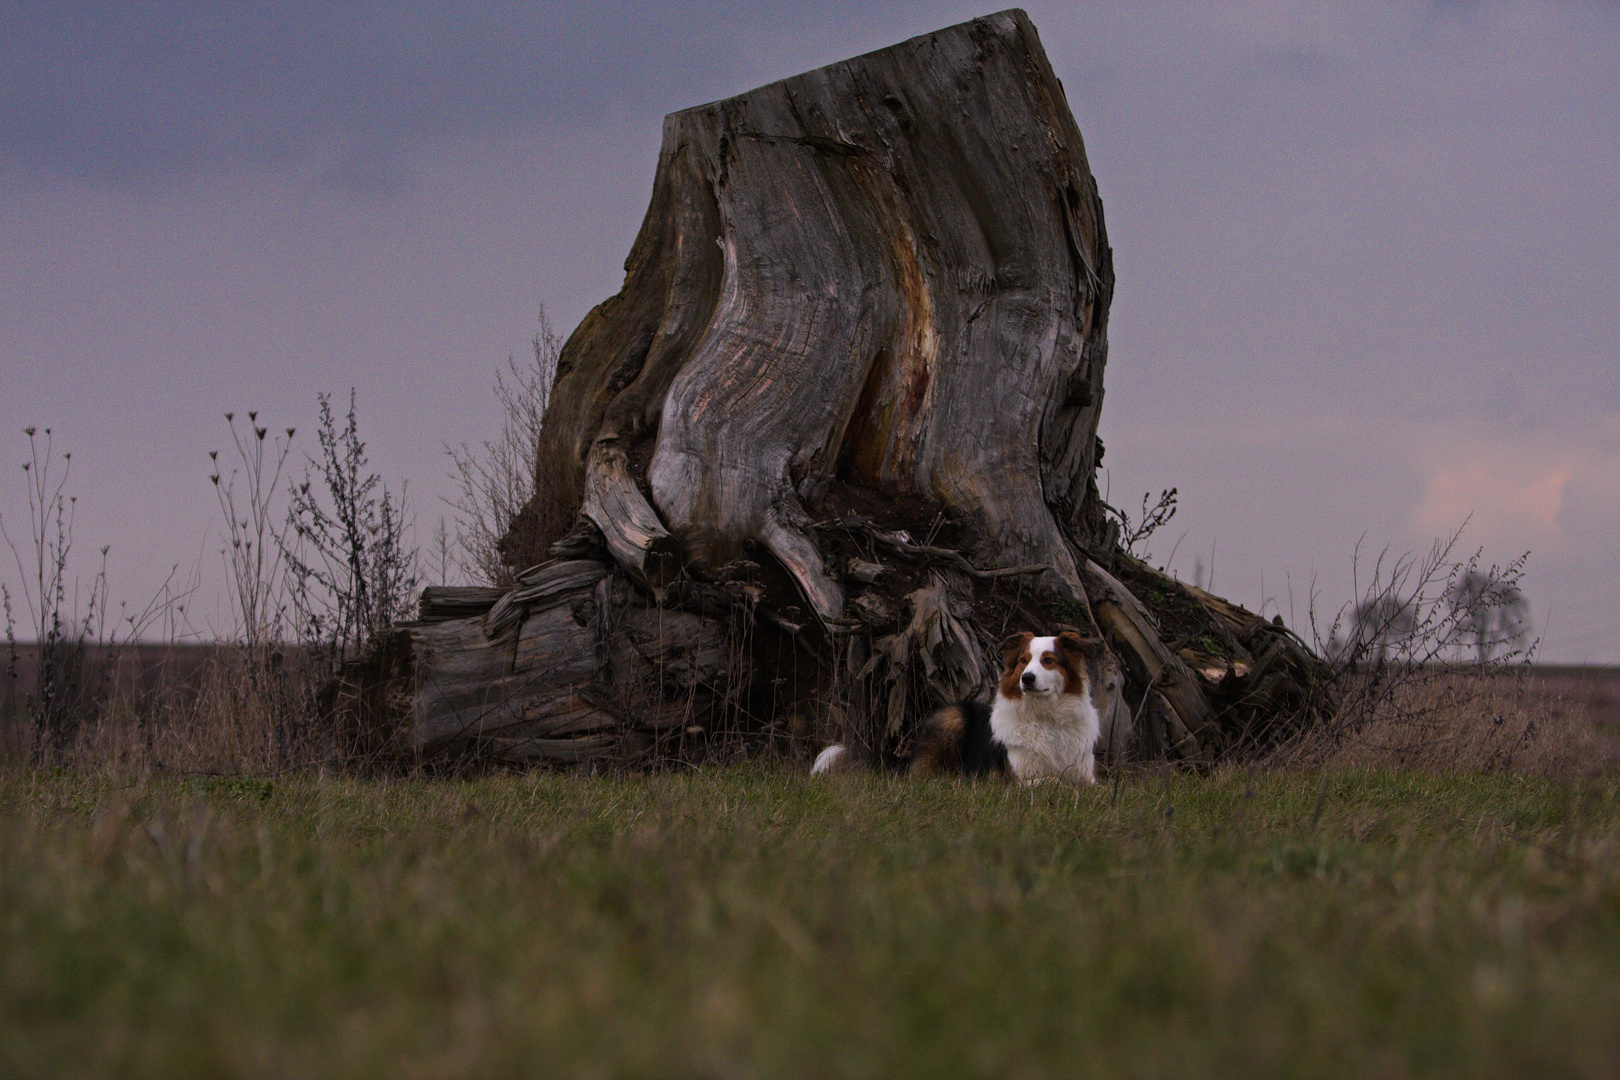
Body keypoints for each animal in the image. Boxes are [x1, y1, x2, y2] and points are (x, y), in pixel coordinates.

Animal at [806, 625, 1114, 786]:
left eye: (1048, 660)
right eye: (1023, 661)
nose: (1026, 678)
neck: (1046, 718)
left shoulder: (1086, 774)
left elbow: (1091, 787)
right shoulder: (1010, 777)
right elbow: (1052, 782)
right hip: (952, 716)